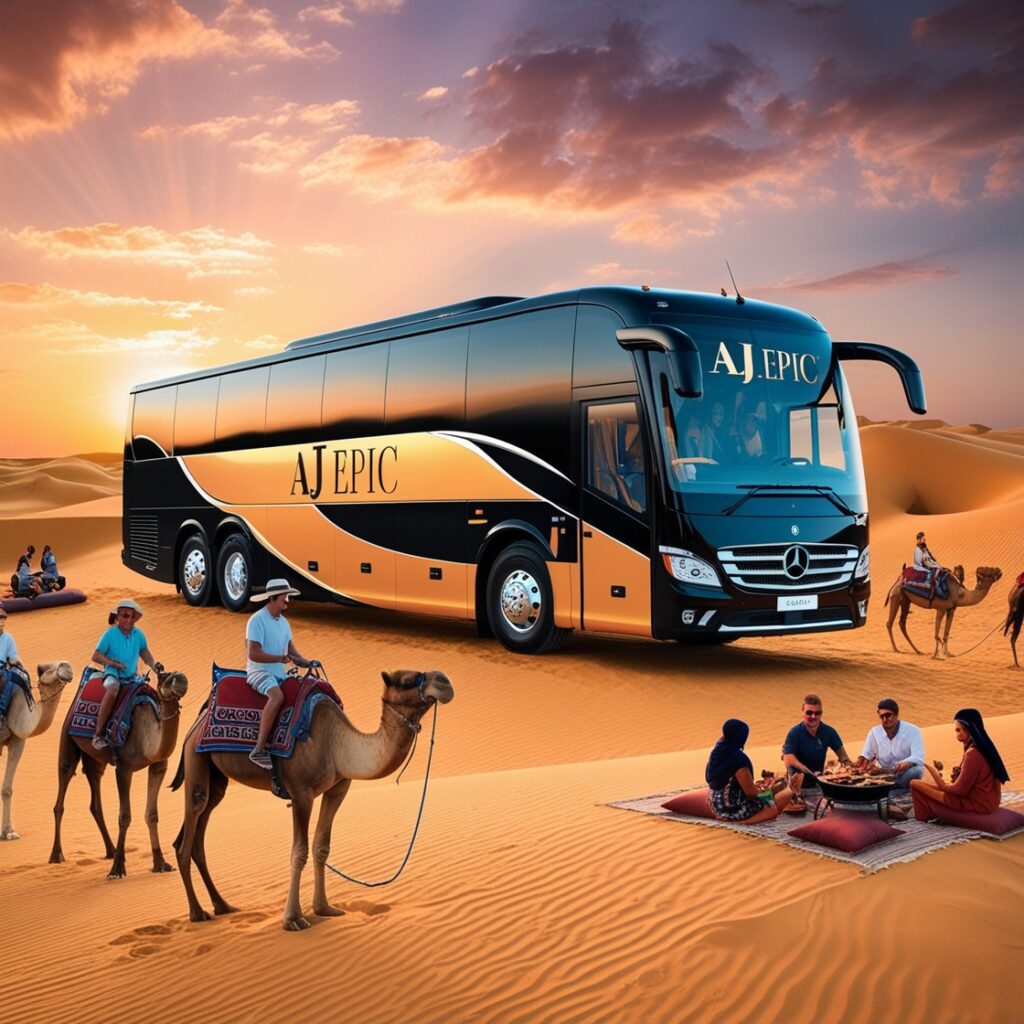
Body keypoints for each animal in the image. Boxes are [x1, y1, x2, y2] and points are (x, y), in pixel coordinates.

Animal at [48, 667, 188, 876]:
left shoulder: (158, 765)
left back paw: (111, 850)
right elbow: (124, 816)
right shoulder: (123, 768)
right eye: (164, 677)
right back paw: (56, 854)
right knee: (61, 792)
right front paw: (117, 868)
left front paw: (160, 863)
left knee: (95, 799)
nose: (181, 679)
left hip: (95, 760)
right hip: (67, 738)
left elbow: (152, 814)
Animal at [174, 667, 454, 933]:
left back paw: (223, 905)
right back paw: (197, 912)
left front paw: (324, 908)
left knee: (200, 834)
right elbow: (299, 852)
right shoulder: (301, 793)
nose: (445, 682)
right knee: (187, 835)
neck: (337, 744)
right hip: (196, 759)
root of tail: (197, 721)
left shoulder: (338, 789)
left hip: (216, 778)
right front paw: (293, 919)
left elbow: (321, 847)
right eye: (407, 681)